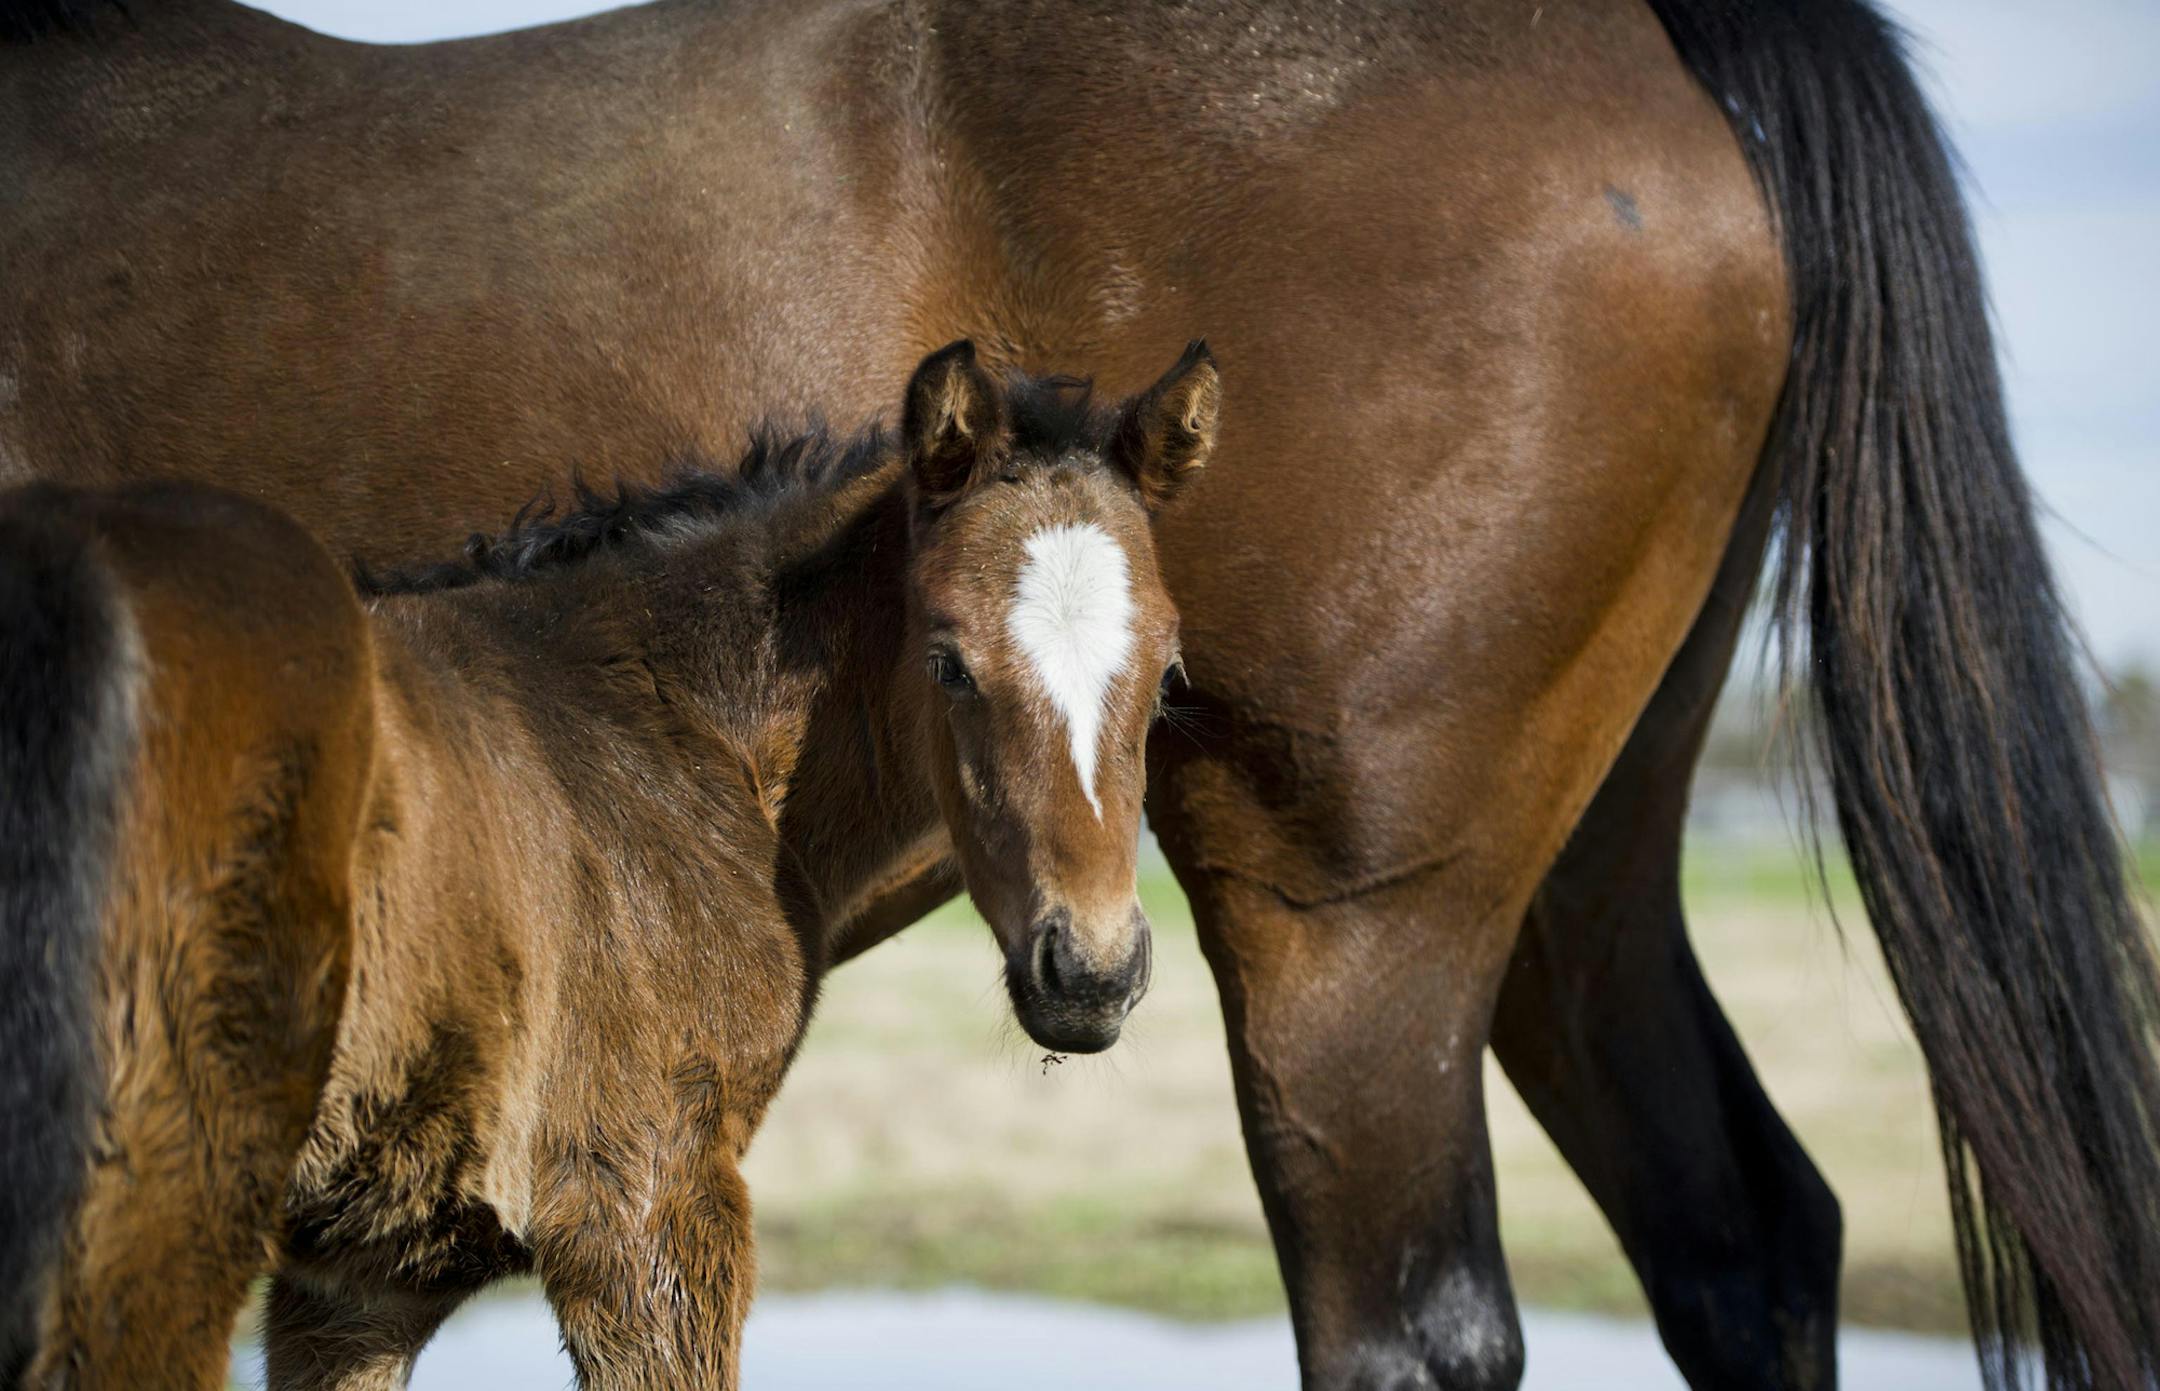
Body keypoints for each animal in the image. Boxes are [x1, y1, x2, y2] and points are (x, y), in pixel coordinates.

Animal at [0, 339, 1222, 1389]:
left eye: (1168, 671)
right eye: (950, 662)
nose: (1090, 972)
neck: (665, 732)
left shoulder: (356, 1282)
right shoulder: (647, 1201)